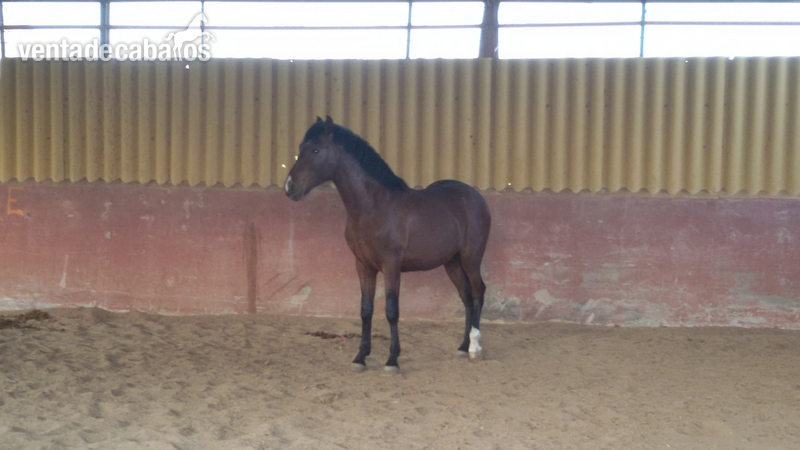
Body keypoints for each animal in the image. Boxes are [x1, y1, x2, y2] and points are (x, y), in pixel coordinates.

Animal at [285, 116, 491, 373]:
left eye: (315, 149)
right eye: (301, 148)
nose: (289, 187)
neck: (374, 206)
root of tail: (475, 197)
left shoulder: (391, 265)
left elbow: (392, 311)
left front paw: (392, 359)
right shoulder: (363, 266)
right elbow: (366, 310)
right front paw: (361, 357)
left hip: (471, 258)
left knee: (478, 291)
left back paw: (475, 347)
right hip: (451, 263)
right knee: (466, 296)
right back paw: (463, 346)